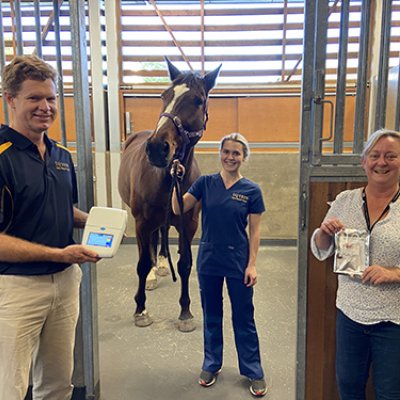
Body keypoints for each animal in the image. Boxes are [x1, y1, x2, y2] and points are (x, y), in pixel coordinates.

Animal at [117, 56, 220, 332]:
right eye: (164, 95)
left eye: (198, 100)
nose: (156, 148)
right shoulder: (142, 222)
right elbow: (142, 264)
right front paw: (141, 310)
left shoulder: (189, 224)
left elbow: (184, 265)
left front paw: (185, 312)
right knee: (149, 247)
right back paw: (154, 272)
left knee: (161, 236)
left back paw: (162, 264)